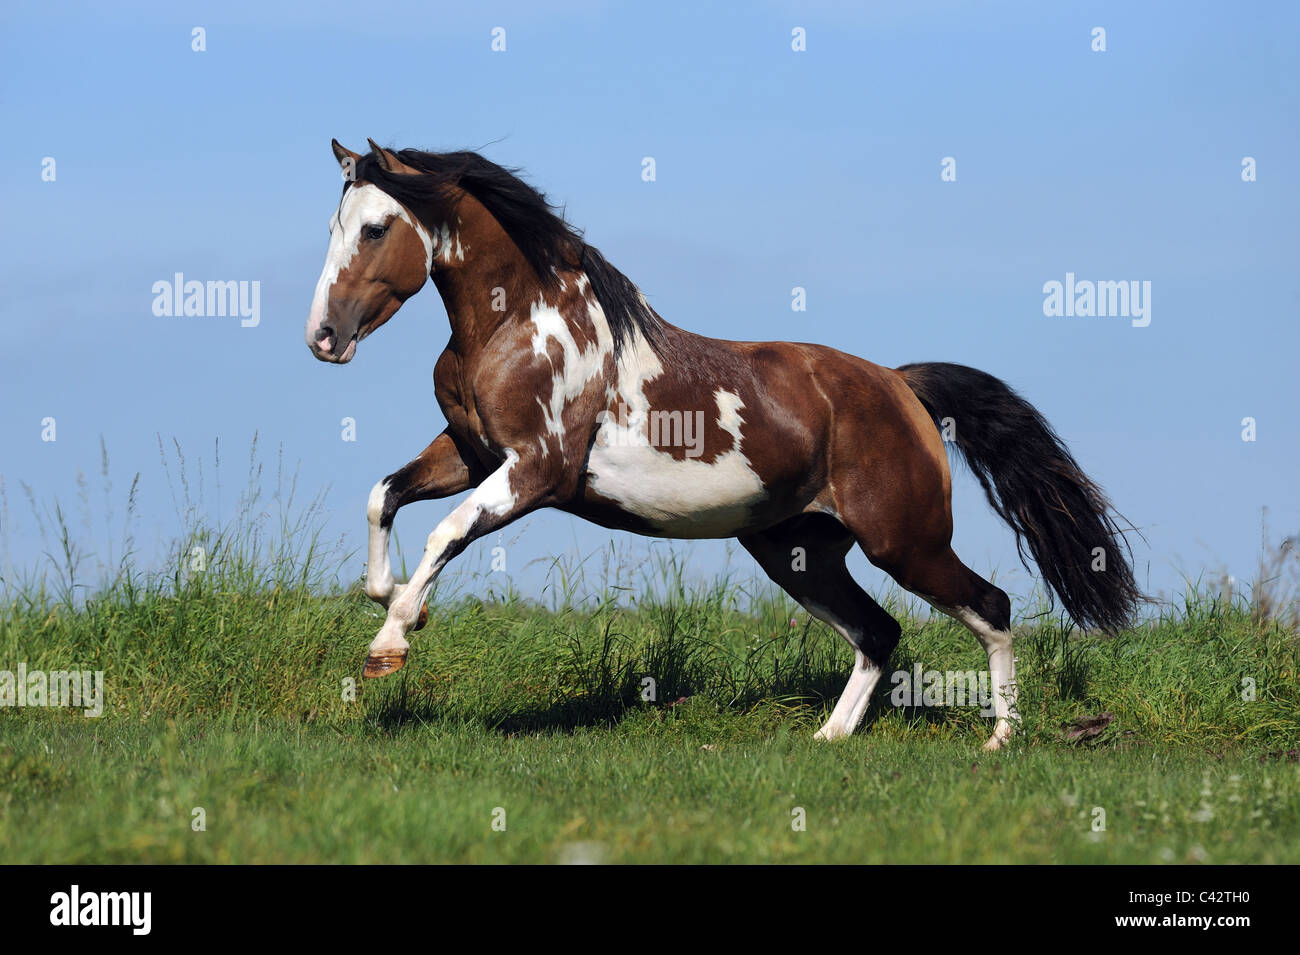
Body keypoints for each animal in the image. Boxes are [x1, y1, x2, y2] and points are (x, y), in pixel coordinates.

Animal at [304, 140, 1138, 753]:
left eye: (376, 227)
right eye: (334, 227)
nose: (324, 337)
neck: (521, 324)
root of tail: (901, 387)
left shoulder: (536, 471)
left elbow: (444, 532)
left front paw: (390, 642)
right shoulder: (473, 454)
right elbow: (386, 493)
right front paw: (386, 593)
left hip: (905, 540)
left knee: (990, 606)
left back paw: (1001, 739)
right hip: (796, 549)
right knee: (879, 630)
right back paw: (828, 736)